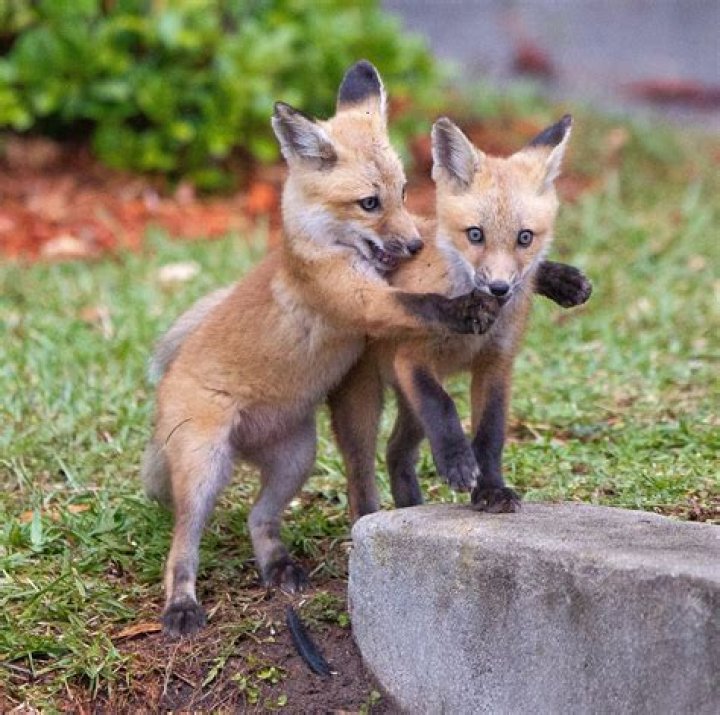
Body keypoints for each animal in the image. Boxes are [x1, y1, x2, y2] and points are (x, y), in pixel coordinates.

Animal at [142, 61, 507, 638]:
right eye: (369, 203)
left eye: (405, 192)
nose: (415, 245)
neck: (323, 249)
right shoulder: (358, 301)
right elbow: (418, 303)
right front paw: (467, 306)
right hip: (204, 470)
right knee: (183, 547)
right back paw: (181, 605)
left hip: (297, 457)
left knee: (259, 519)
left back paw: (278, 568)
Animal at [328, 112, 588, 519]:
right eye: (475, 234)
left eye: (525, 237)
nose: (499, 288)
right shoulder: (412, 361)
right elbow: (444, 407)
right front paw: (458, 463)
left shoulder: (497, 364)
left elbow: (491, 435)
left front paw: (491, 490)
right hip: (364, 403)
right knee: (361, 473)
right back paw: (368, 518)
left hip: (408, 406)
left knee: (396, 451)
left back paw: (410, 507)